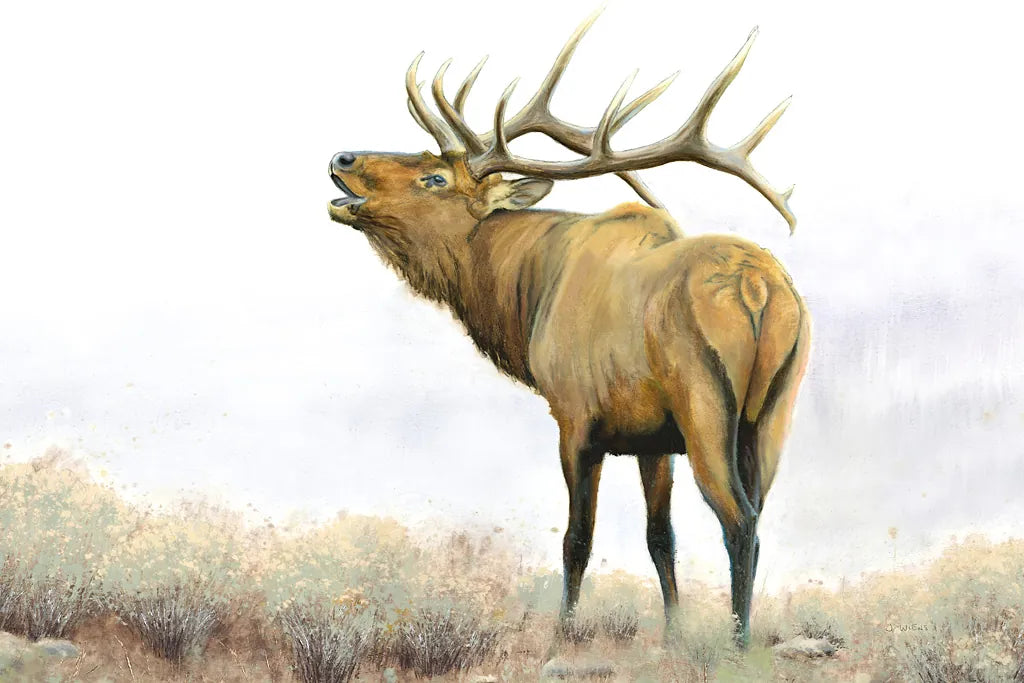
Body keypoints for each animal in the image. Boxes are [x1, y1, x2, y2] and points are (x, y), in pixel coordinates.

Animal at [327, 9, 810, 648]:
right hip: (774, 410)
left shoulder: (577, 417)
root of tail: (757, 287)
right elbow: (661, 538)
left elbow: (576, 539)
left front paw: (562, 632)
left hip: (706, 402)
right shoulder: (654, 440)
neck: (525, 296)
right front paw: (673, 633)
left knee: (738, 519)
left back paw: (736, 646)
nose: (342, 158)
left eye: (435, 178)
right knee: (757, 512)